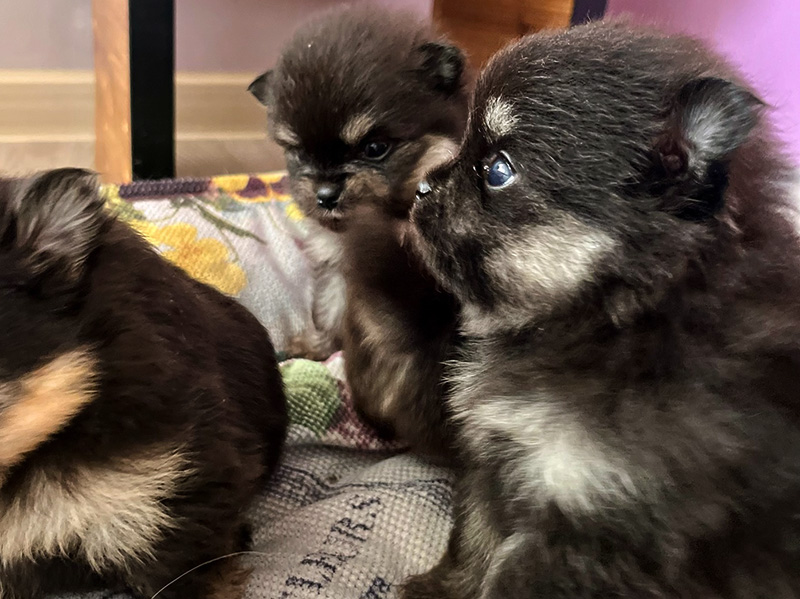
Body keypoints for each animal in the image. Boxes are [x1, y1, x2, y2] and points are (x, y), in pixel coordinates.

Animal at [249, 4, 469, 361]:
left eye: (375, 148)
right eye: (298, 152)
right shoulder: (339, 267)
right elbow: (333, 311)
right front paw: (318, 348)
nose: (325, 195)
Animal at [402, 21, 800, 599]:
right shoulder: (498, 460)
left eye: (497, 170)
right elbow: (474, 539)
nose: (420, 186)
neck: (616, 315)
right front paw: (440, 587)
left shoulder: (589, 527)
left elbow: (503, 575)